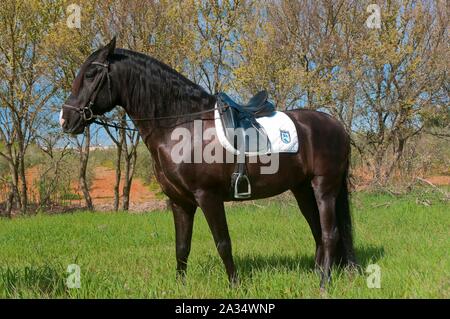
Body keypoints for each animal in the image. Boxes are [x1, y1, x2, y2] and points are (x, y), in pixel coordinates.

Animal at [59, 38, 356, 290]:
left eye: (90, 74)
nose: (65, 119)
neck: (181, 126)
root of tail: (336, 125)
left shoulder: (208, 196)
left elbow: (223, 243)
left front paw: (236, 286)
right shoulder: (180, 201)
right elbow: (182, 246)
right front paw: (180, 287)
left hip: (324, 187)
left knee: (329, 233)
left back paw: (324, 285)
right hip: (302, 189)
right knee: (317, 230)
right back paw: (318, 276)